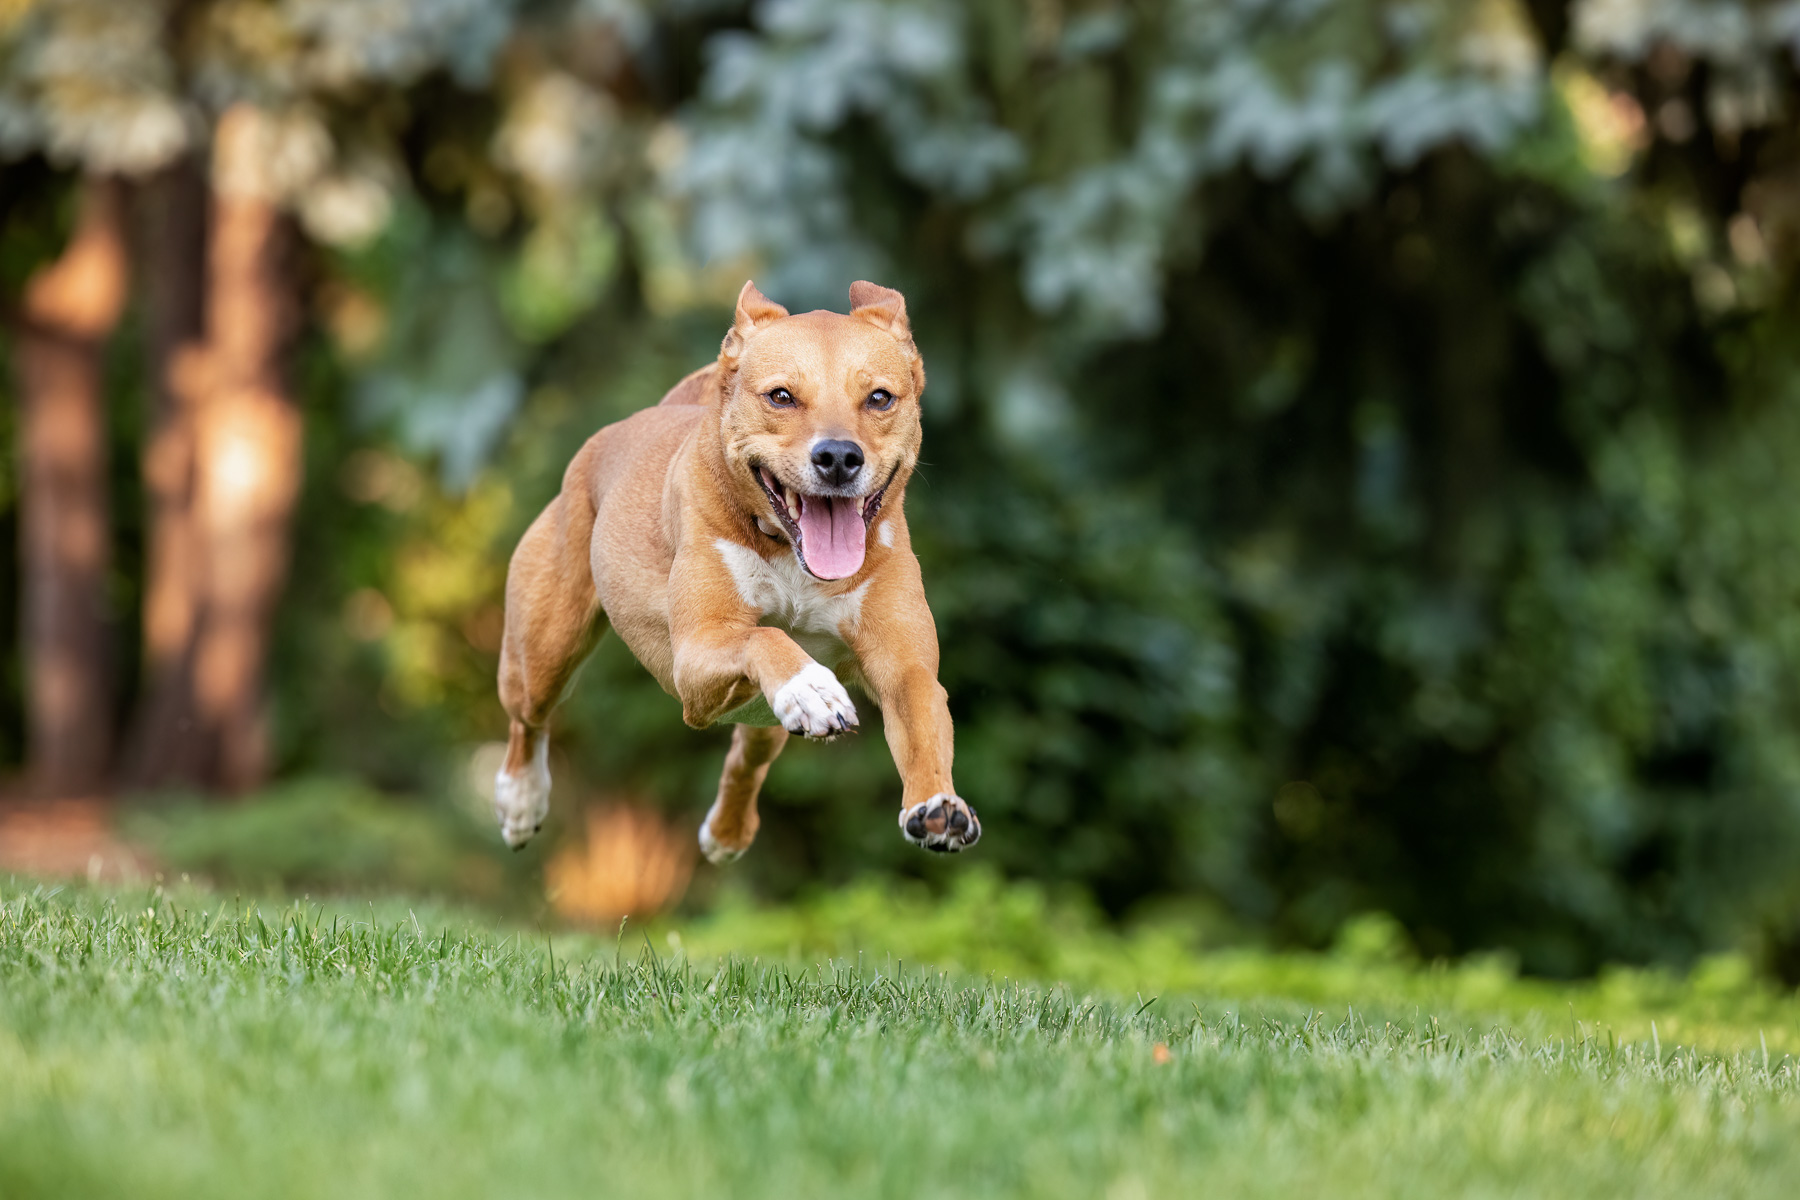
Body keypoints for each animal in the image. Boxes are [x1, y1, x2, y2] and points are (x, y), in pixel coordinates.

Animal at [489, 282, 986, 863]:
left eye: (880, 398)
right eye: (781, 396)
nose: (840, 456)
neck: (794, 558)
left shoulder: (905, 666)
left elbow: (922, 718)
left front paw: (939, 807)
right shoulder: (695, 657)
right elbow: (764, 636)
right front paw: (809, 684)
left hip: (759, 716)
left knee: (749, 753)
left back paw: (727, 830)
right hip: (543, 651)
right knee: (528, 718)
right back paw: (520, 800)